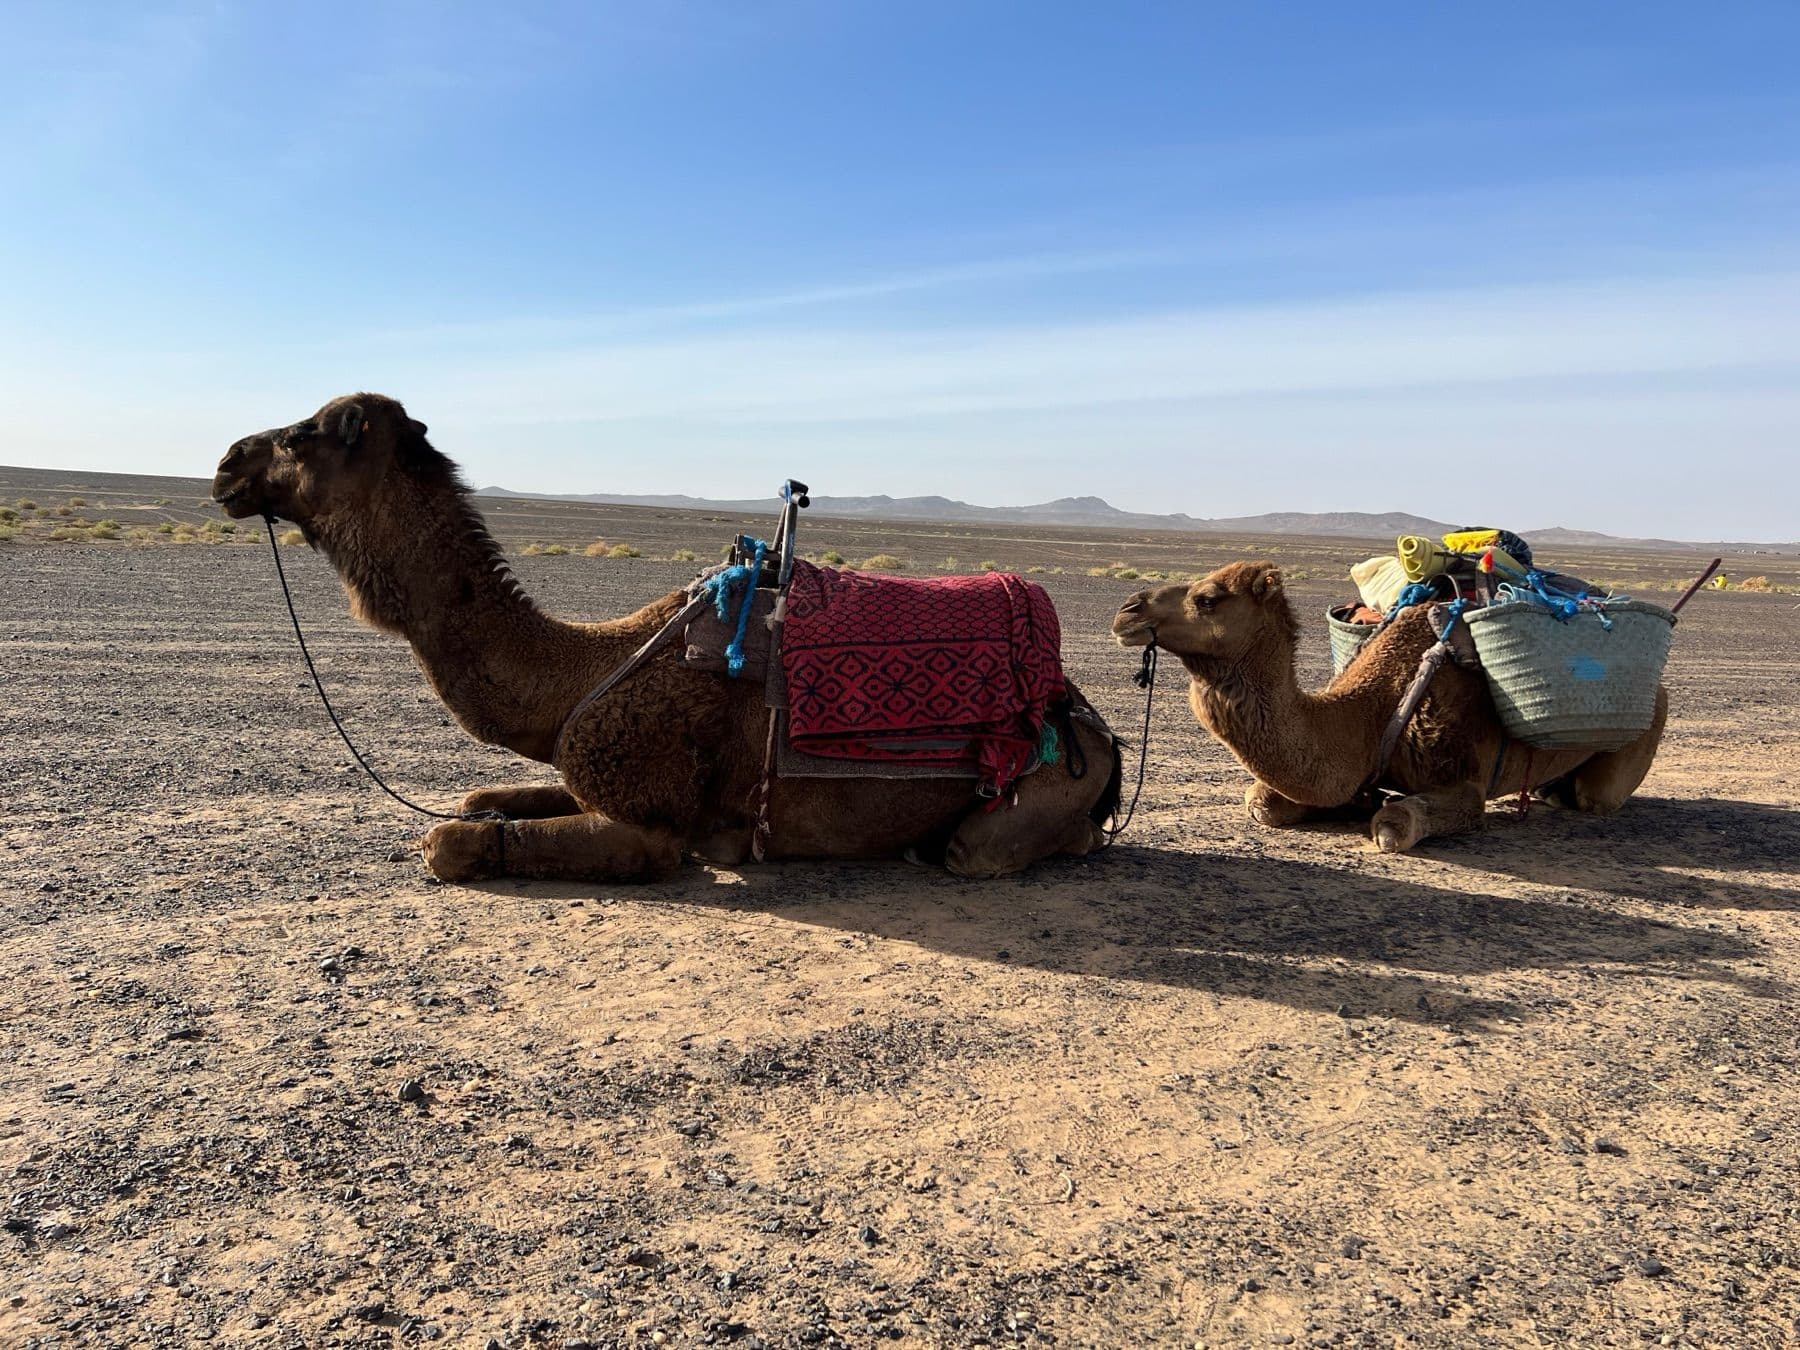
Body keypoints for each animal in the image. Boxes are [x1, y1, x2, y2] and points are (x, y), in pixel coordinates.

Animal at [212, 394, 1120, 884]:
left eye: (304, 434)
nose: (225, 462)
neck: (589, 667)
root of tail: (1092, 726)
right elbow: (481, 800)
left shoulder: (652, 820)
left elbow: (450, 838)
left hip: (1033, 796)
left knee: (990, 847)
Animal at [1111, 561, 1666, 852]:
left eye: (1207, 598)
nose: (1126, 612)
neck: (1371, 711)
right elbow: (1261, 801)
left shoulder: (1462, 776)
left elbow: (1395, 824)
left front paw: (1383, 814)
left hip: (1642, 733)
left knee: (1596, 796)